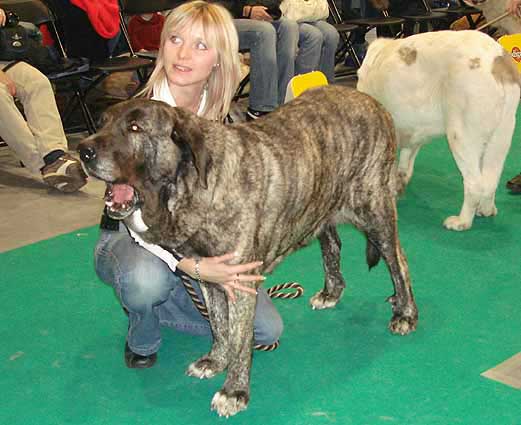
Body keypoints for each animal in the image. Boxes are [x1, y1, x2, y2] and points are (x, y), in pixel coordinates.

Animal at [78, 84, 418, 416]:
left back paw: (405, 312)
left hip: (374, 210)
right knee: (333, 245)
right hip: (322, 203)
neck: (193, 185)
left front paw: (234, 391)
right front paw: (216, 360)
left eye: (135, 127)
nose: (84, 150)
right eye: (102, 123)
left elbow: (241, 337)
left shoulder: (240, 284)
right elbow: (219, 325)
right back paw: (332, 292)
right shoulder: (209, 278)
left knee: (398, 261)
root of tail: (372, 101)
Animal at [358, 30, 520, 230]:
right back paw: (486, 210)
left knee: (475, 184)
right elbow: (406, 157)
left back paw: (461, 222)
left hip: (461, 136)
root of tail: (498, 61)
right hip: (501, 136)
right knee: (490, 180)